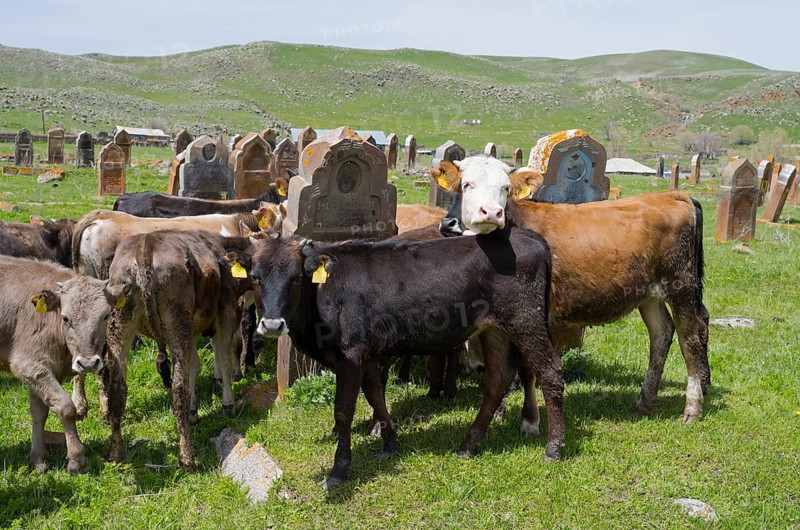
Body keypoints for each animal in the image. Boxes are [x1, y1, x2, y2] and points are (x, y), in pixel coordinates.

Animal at [0, 256, 124, 473]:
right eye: (66, 318)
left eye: (105, 316)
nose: (88, 363)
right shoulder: (28, 364)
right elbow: (66, 408)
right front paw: (76, 458)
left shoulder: (41, 370)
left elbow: (39, 413)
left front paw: (39, 460)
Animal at [103, 231, 254, 470]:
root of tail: (145, 246)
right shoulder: (225, 313)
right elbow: (224, 359)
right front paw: (228, 404)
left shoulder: (193, 332)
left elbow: (195, 366)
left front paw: (194, 412)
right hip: (177, 324)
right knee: (178, 388)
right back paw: (187, 458)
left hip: (120, 323)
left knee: (117, 388)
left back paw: (117, 453)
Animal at [251, 226, 564, 489]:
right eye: (255, 277)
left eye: (295, 277)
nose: (272, 324)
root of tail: (524, 234)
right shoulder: (368, 354)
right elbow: (375, 395)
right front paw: (390, 445)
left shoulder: (351, 353)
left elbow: (343, 410)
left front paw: (338, 470)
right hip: (493, 329)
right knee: (498, 379)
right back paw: (469, 444)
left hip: (526, 320)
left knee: (550, 373)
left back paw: (554, 448)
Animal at [431, 155, 710, 422]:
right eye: (465, 185)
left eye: (506, 188)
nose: (491, 212)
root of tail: (671, 195)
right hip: (649, 294)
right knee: (661, 334)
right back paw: (645, 401)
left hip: (681, 285)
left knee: (690, 338)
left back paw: (693, 408)